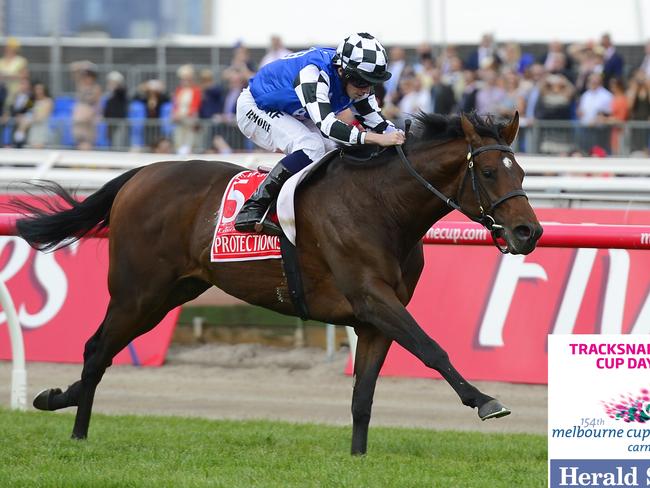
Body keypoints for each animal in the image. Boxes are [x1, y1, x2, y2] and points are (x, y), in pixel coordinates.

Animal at [13, 110, 540, 454]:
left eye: (521, 170)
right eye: (488, 171)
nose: (528, 232)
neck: (381, 206)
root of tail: (141, 173)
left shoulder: (373, 320)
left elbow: (363, 396)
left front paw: (358, 457)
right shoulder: (373, 299)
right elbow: (432, 348)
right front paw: (485, 401)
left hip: (171, 293)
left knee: (102, 351)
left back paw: (58, 399)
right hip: (137, 293)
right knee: (96, 349)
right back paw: (76, 429)